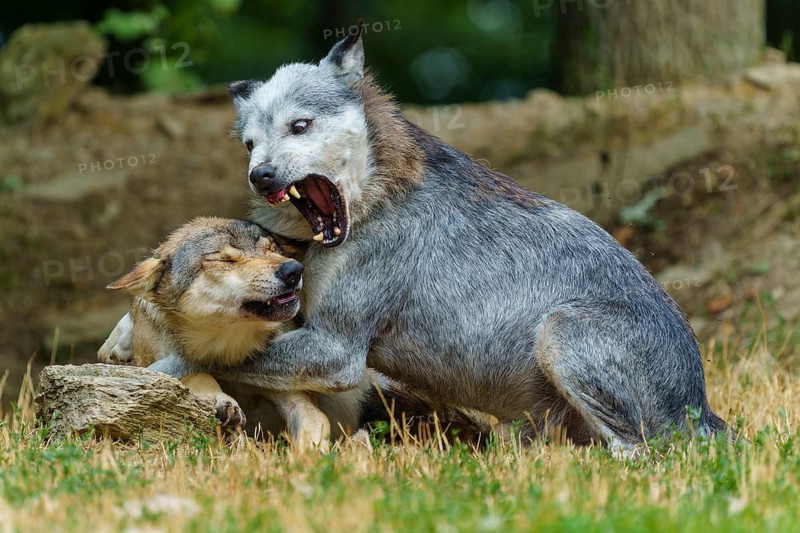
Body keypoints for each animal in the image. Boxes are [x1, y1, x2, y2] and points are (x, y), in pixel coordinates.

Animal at [106, 28, 729, 452]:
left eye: (300, 126)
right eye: (249, 144)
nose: (260, 177)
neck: (372, 203)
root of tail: (702, 410)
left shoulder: (335, 349)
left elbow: (204, 358)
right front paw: (122, 341)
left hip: (562, 331)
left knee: (637, 454)